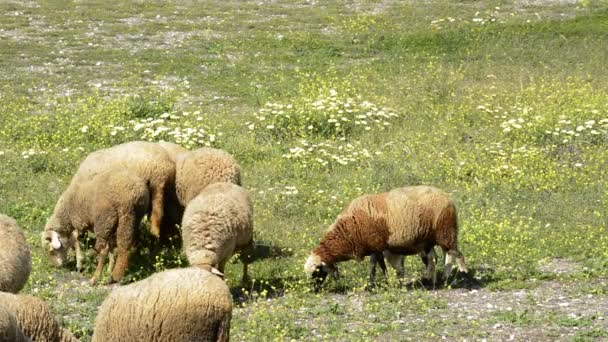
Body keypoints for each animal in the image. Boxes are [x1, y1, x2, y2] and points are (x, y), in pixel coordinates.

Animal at [304, 186, 470, 288]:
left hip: (446, 232)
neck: (348, 231)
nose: (314, 290)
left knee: (455, 255)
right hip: (429, 240)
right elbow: (375, 265)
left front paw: (381, 282)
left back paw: (456, 276)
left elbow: (378, 265)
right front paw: (374, 282)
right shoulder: (375, 247)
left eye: (316, 271)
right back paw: (433, 279)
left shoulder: (377, 245)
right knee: (437, 258)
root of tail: (447, 197)